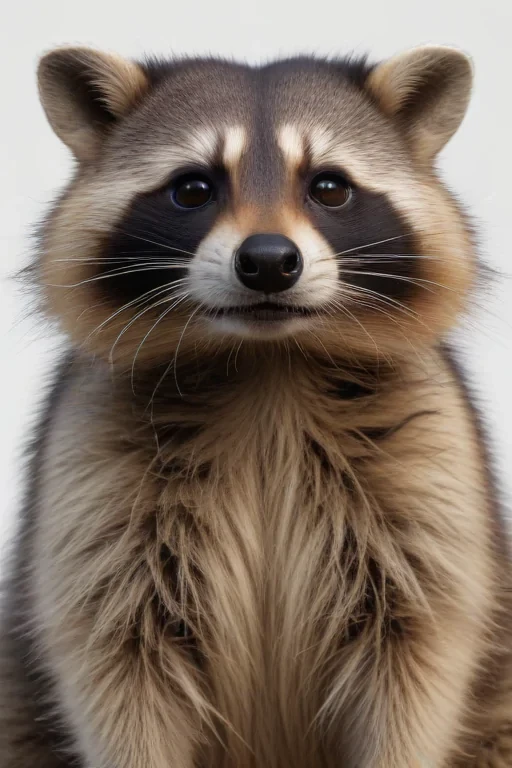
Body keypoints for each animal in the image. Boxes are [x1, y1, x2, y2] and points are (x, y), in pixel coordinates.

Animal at [1, 44, 511, 768]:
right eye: (193, 188)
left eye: (329, 187)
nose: (269, 261)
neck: (268, 362)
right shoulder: (95, 484)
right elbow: (115, 670)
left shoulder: (429, 473)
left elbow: (420, 664)